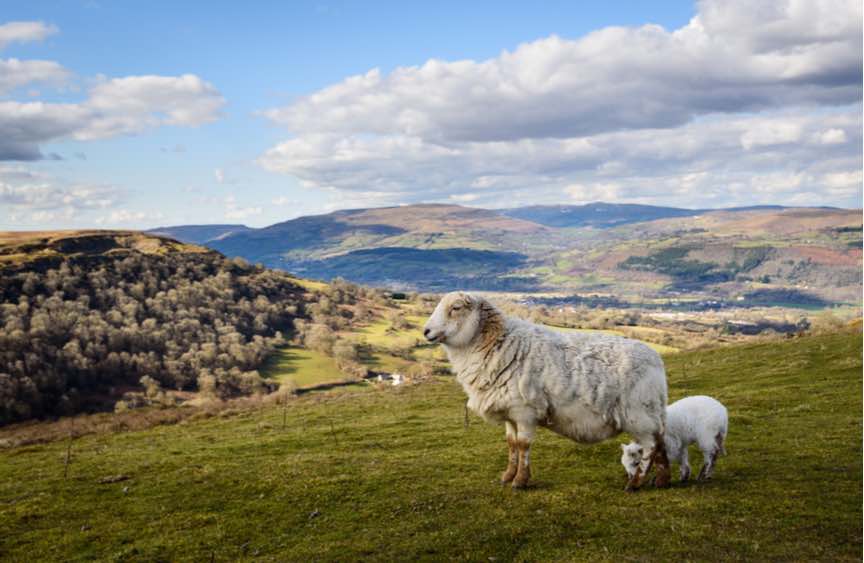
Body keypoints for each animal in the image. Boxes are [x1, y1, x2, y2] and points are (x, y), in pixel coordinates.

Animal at [426, 294, 676, 492]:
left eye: (456, 307)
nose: (426, 331)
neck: (498, 344)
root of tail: (657, 360)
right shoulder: (510, 412)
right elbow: (511, 444)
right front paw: (507, 476)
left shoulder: (525, 411)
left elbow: (523, 445)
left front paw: (520, 481)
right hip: (650, 414)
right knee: (660, 441)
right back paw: (662, 480)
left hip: (638, 414)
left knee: (651, 446)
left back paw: (635, 483)